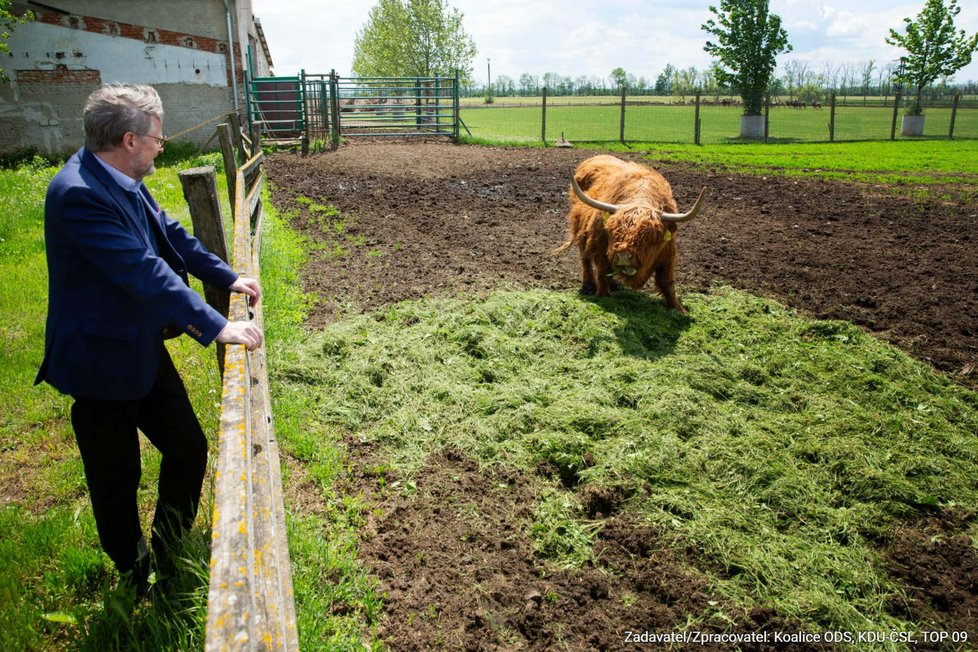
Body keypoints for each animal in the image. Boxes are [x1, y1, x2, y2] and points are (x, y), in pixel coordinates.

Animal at [552, 155, 704, 314]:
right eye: (611, 231)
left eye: (652, 237)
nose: (624, 257)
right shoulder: (600, 244)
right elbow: (602, 271)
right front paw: (602, 295)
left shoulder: (668, 252)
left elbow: (667, 281)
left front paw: (679, 309)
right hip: (580, 229)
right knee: (585, 258)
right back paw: (588, 286)